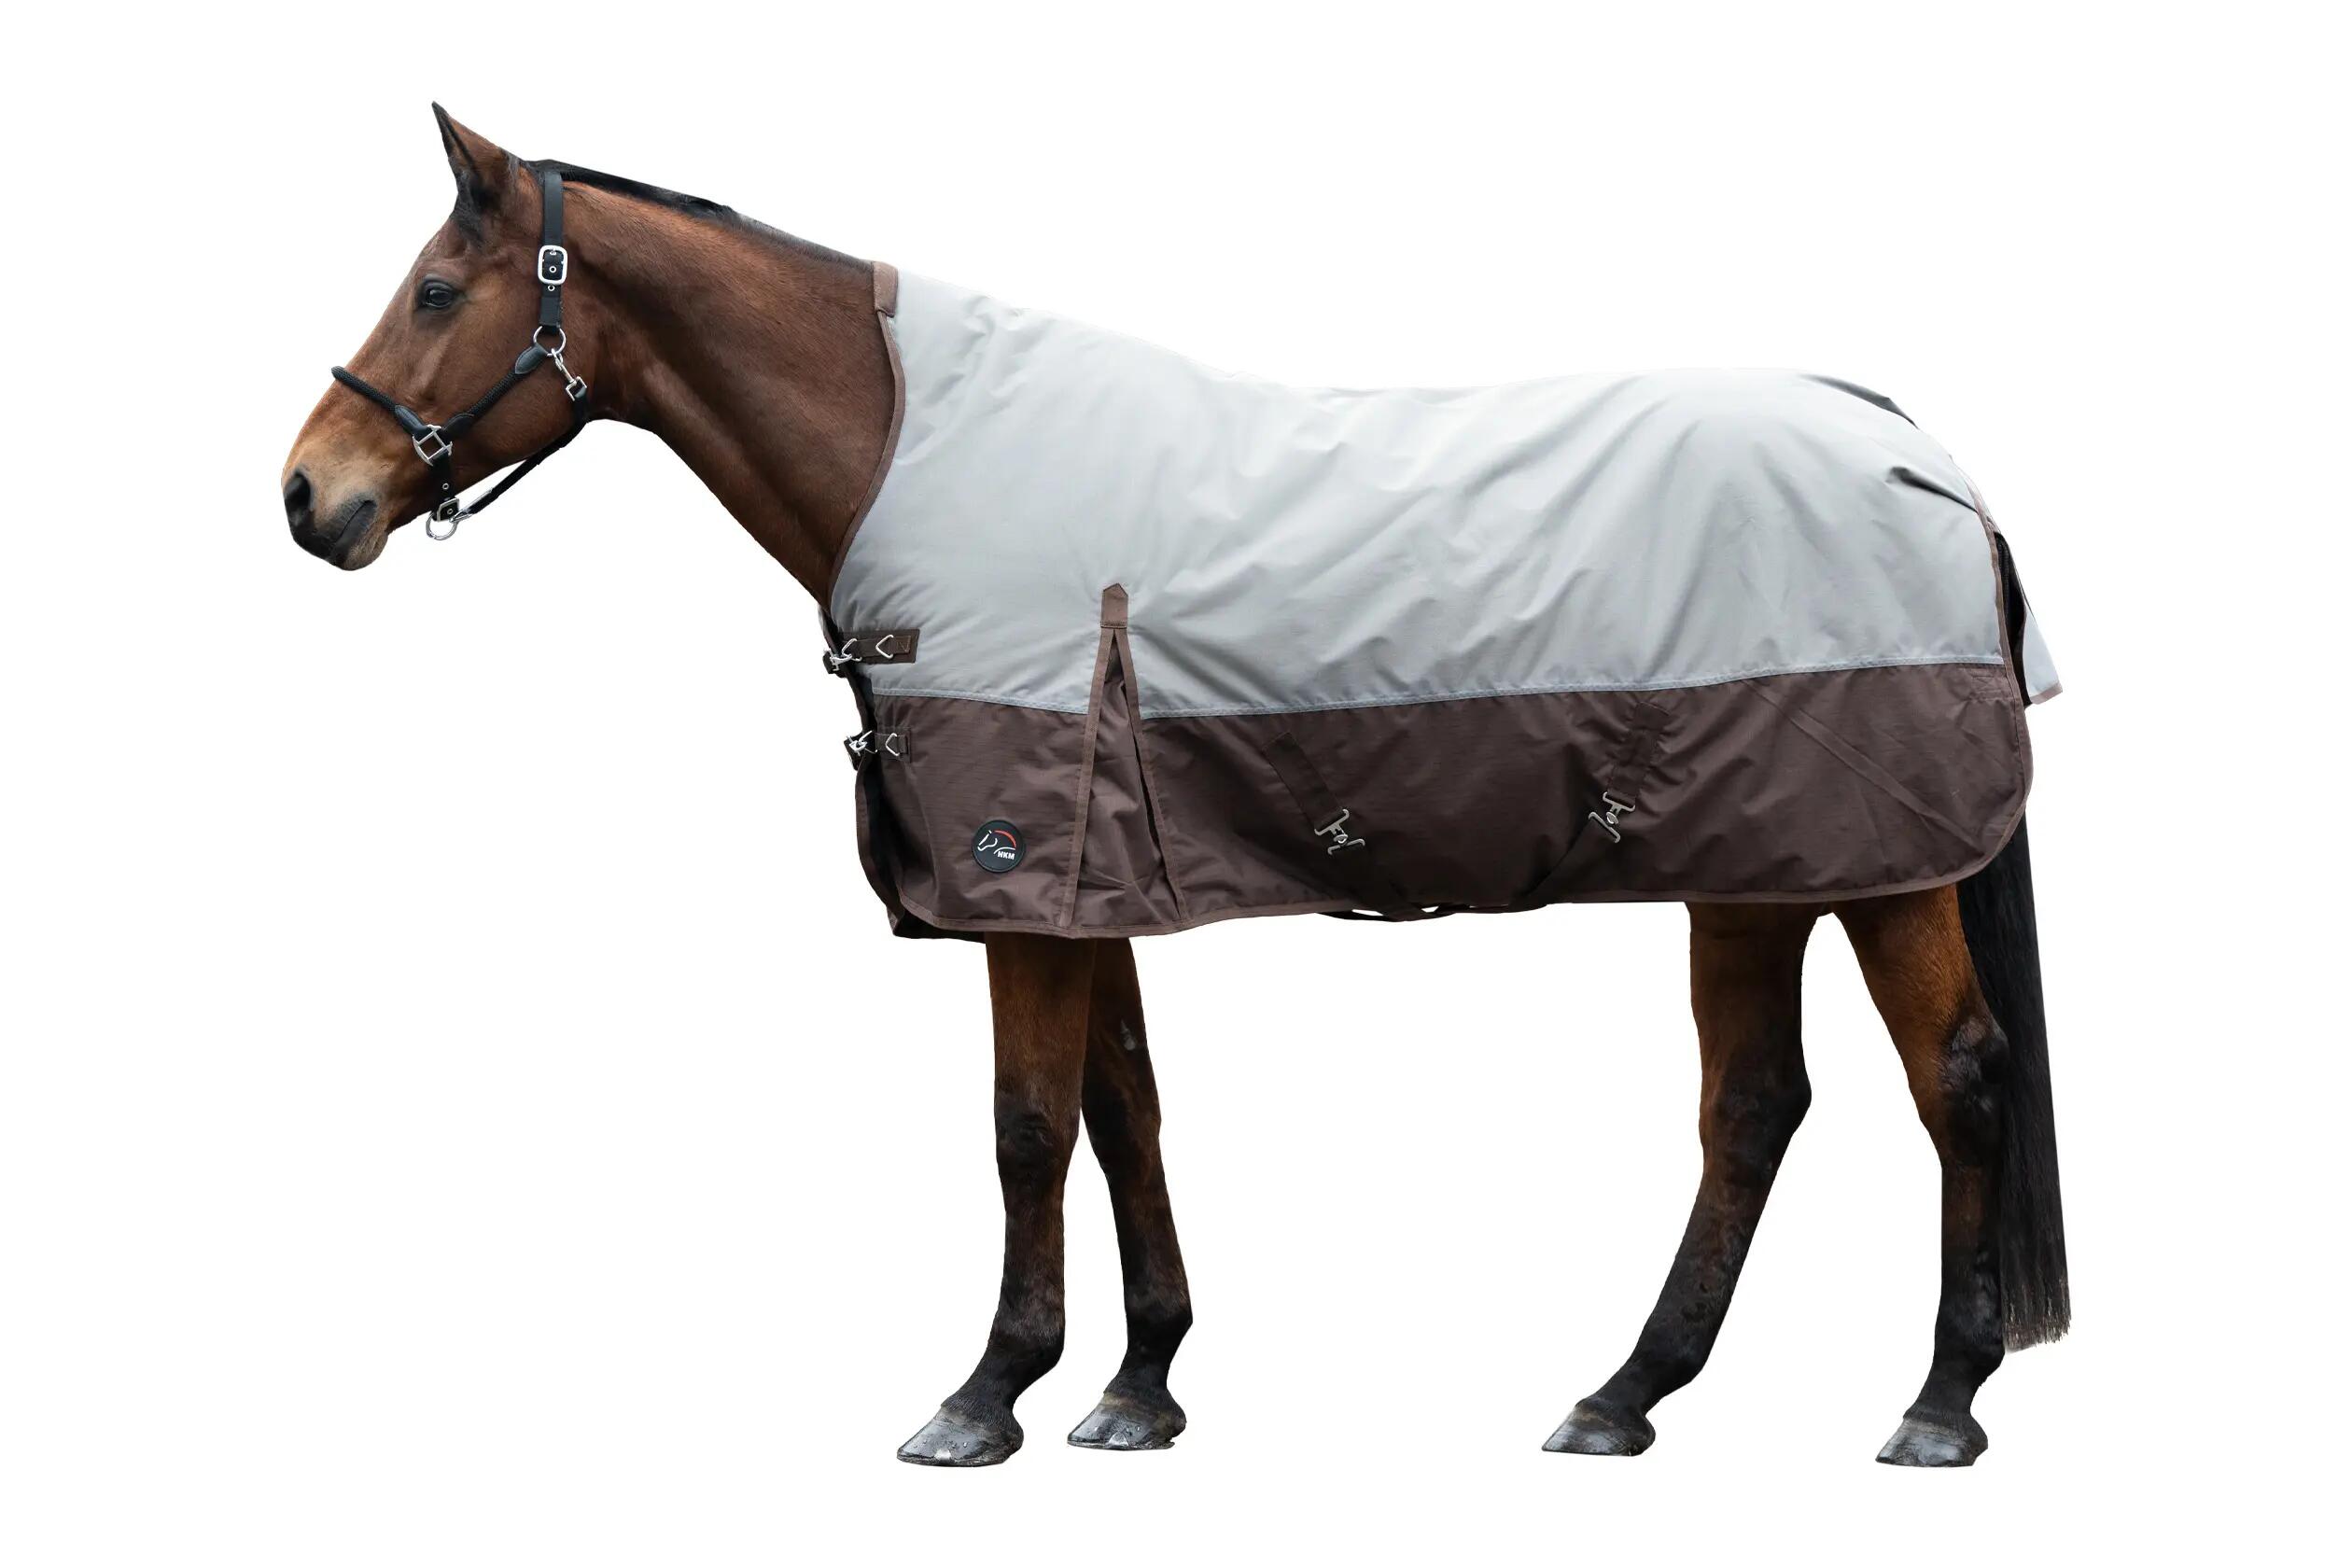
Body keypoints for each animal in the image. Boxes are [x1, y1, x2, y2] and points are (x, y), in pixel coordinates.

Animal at [281, 108, 2068, 1468]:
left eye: (435, 289)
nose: (311, 495)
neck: (922, 450)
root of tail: (1922, 460)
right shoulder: (1091, 883)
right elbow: (1120, 1109)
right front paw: (1138, 1388)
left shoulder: (1017, 876)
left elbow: (1025, 1128)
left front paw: (985, 1396)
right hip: (1760, 865)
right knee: (1753, 1105)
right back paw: (1624, 1396)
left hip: (1878, 865)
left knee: (1959, 1082)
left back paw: (1938, 1406)